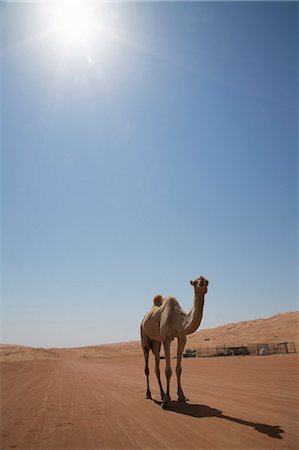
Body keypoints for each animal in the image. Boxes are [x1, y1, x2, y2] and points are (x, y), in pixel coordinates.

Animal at [141, 274, 209, 408]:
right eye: (195, 282)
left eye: (207, 281)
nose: (202, 283)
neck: (178, 320)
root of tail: (144, 318)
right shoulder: (167, 339)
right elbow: (168, 370)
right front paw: (167, 400)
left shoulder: (182, 338)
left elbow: (179, 369)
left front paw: (181, 396)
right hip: (144, 336)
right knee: (147, 367)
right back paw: (149, 394)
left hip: (156, 342)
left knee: (157, 367)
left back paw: (162, 393)